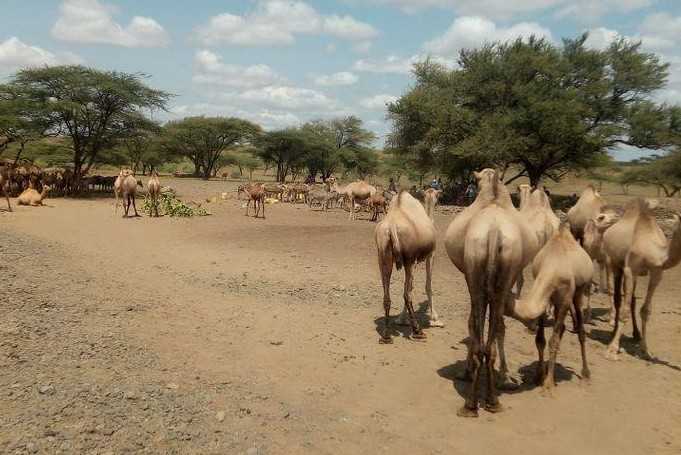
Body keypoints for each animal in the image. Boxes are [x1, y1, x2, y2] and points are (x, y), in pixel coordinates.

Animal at [372, 191, 440, 344]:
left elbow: (410, 285)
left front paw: (401, 319)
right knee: (407, 293)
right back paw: (417, 331)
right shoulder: (430, 254)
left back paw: (386, 335)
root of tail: (391, 227)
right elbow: (428, 285)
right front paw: (435, 318)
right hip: (409, 259)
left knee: (387, 295)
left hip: (383, 256)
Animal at [444, 169, 540, 418]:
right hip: (498, 272)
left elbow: (479, 324)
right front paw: (504, 377)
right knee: (492, 327)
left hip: (479, 268)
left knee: (485, 336)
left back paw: (475, 403)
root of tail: (494, 231)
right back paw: (489, 399)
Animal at [508, 224, 592, 392]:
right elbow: (540, 340)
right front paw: (539, 376)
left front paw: (548, 382)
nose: (531, 326)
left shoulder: (565, 299)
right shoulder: (546, 299)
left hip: (578, 292)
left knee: (580, 331)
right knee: (562, 329)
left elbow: (553, 341)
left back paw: (585, 373)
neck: (553, 266)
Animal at [600, 199, 680, 360]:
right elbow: (624, 310)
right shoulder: (630, 269)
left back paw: (635, 334)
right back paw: (613, 332)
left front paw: (645, 350)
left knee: (631, 300)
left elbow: (645, 310)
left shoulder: (657, 273)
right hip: (611, 261)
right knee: (617, 297)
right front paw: (612, 349)